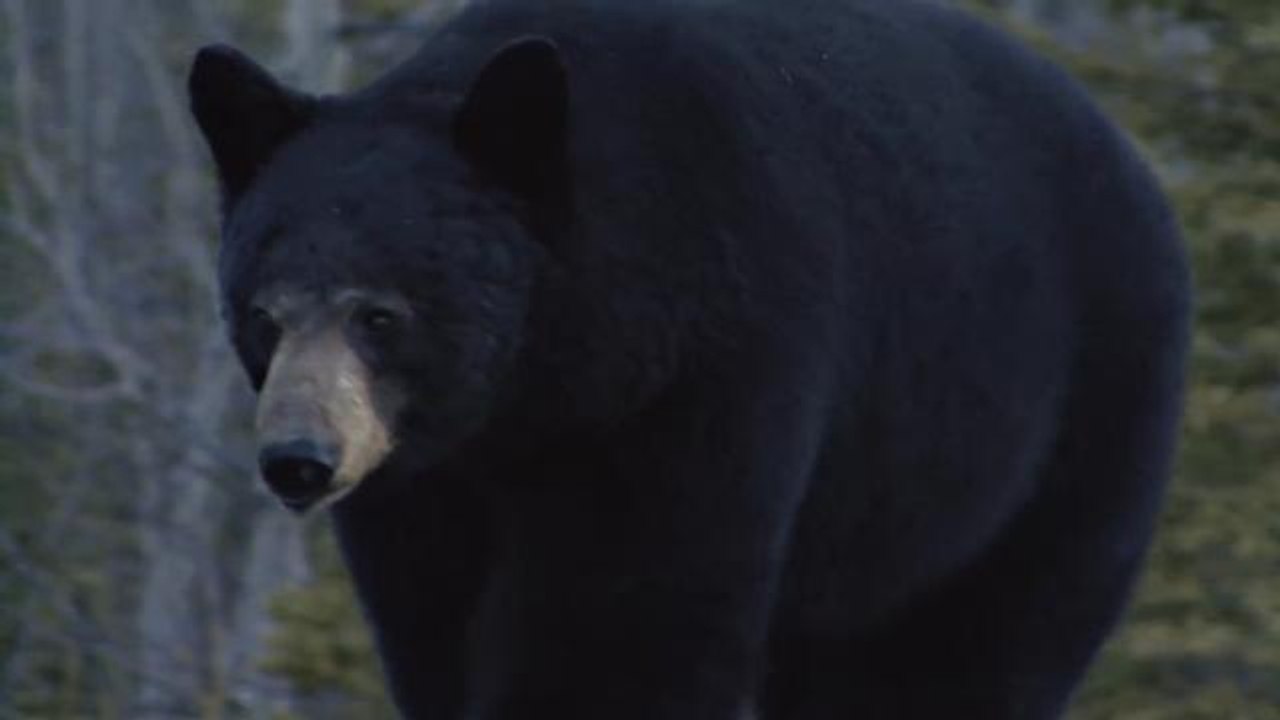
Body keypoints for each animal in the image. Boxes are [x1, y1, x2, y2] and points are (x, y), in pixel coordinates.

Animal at [187, 0, 1191, 718]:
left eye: (380, 314)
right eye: (264, 314)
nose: (298, 459)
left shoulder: (705, 373)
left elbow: (631, 618)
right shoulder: (426, 476)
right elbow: (433, 624)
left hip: (1067, 420)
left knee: (981, 645)